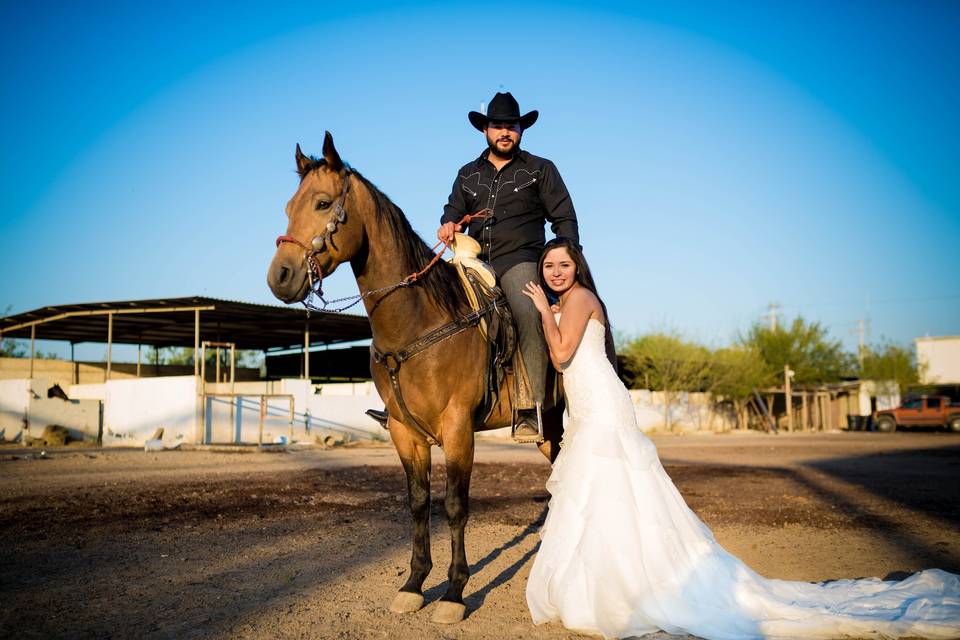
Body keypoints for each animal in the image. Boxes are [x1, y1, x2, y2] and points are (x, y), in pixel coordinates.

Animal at [264, 132, 564, 624]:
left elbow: (456, 506)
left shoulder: (459, 429)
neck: (419, 320)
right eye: (289, 206)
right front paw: (414, 583)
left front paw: (454, 593)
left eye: (324, 203)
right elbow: (419, 503)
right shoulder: (405, 433)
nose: (280, 276)